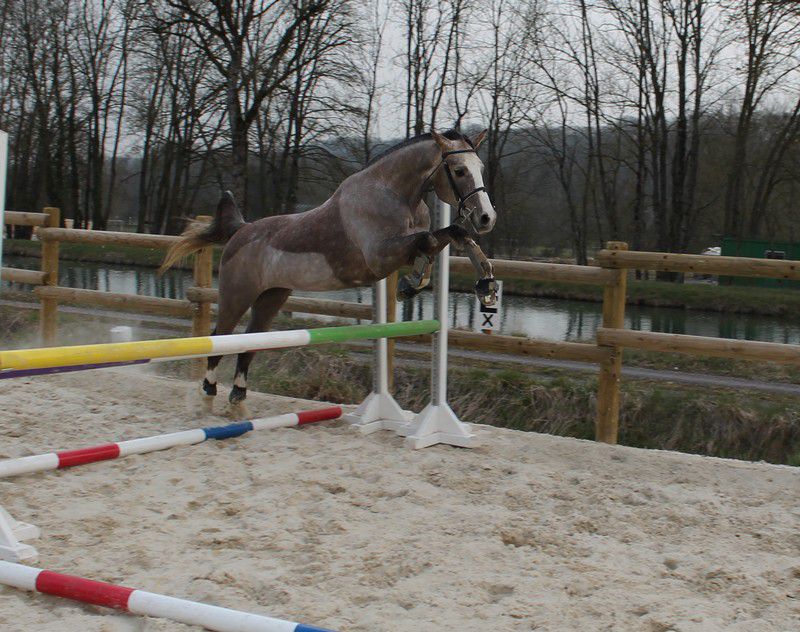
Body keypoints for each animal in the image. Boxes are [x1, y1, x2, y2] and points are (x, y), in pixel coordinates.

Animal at [160, 129, 498, 408]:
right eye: (459, 170)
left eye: (480, 168)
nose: (486, 218)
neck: (396, 194)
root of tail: (241, 230)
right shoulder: (380, 257)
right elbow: (433, 239)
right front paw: (412, 284)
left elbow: (452, 237)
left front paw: (486, 285)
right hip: (237, 294)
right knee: (221, 335)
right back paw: (208, 388)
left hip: (272, 296)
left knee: (251, 339)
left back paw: (238, 393)